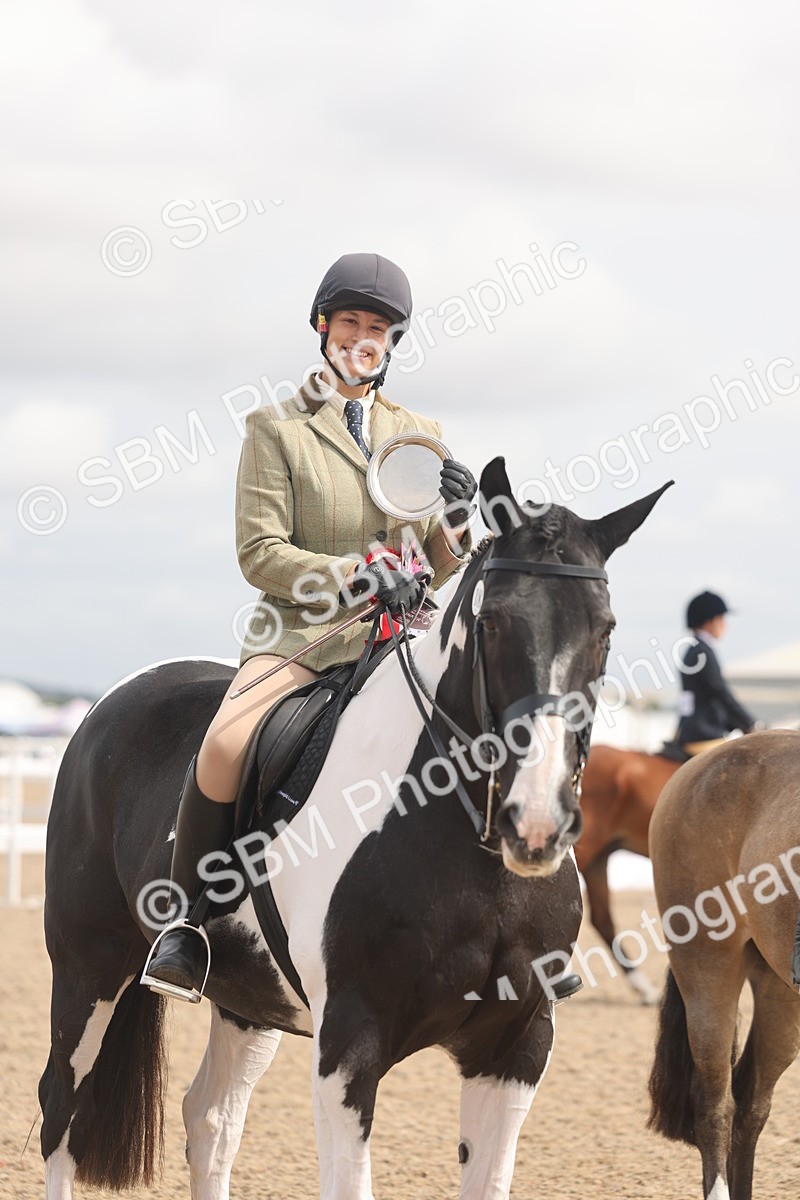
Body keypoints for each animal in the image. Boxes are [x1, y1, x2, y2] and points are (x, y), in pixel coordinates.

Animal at [38, 458, 670, 1200]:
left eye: (605, 629)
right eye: (492, 624)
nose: (536, 822)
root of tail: (116, 699)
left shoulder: (516, 1044)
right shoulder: (349, 1040)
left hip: (248, 998)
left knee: (211, 1118)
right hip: (89, 964)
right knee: (63, 1108)